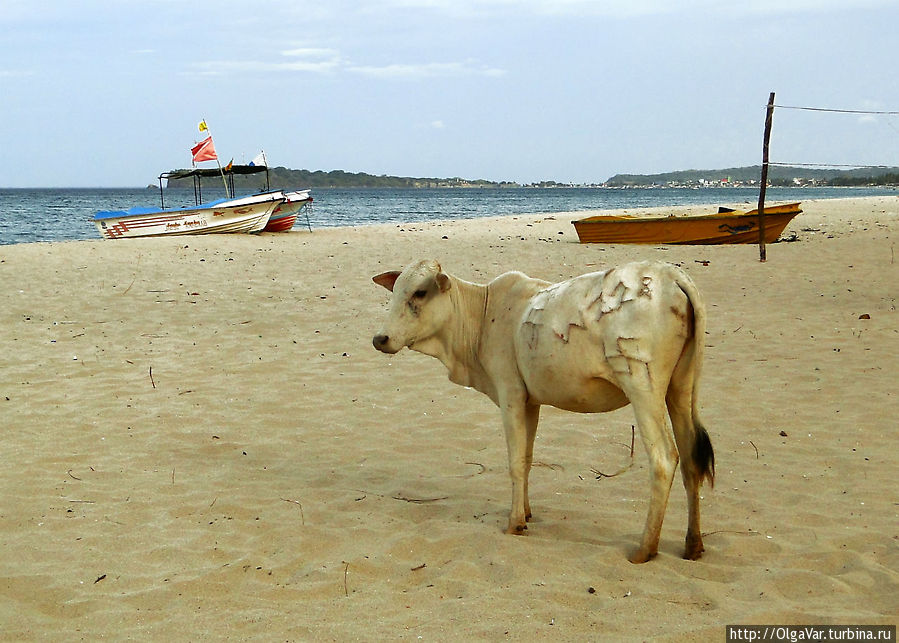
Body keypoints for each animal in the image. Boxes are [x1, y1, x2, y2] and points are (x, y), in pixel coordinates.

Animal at [372, 260, 716, 560]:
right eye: (396, 291)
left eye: (420, 293)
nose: (380, 338)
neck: (481, 316)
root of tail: (672, 275)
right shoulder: (530, 401)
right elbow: (527, 459)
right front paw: (526, 512)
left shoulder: (510, 392)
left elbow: (514, 462)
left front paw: (514, 523)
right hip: (680, 388)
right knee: (691, 460)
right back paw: (693, 545)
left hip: (642, 385)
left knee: (664, 459)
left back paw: (645, 549)